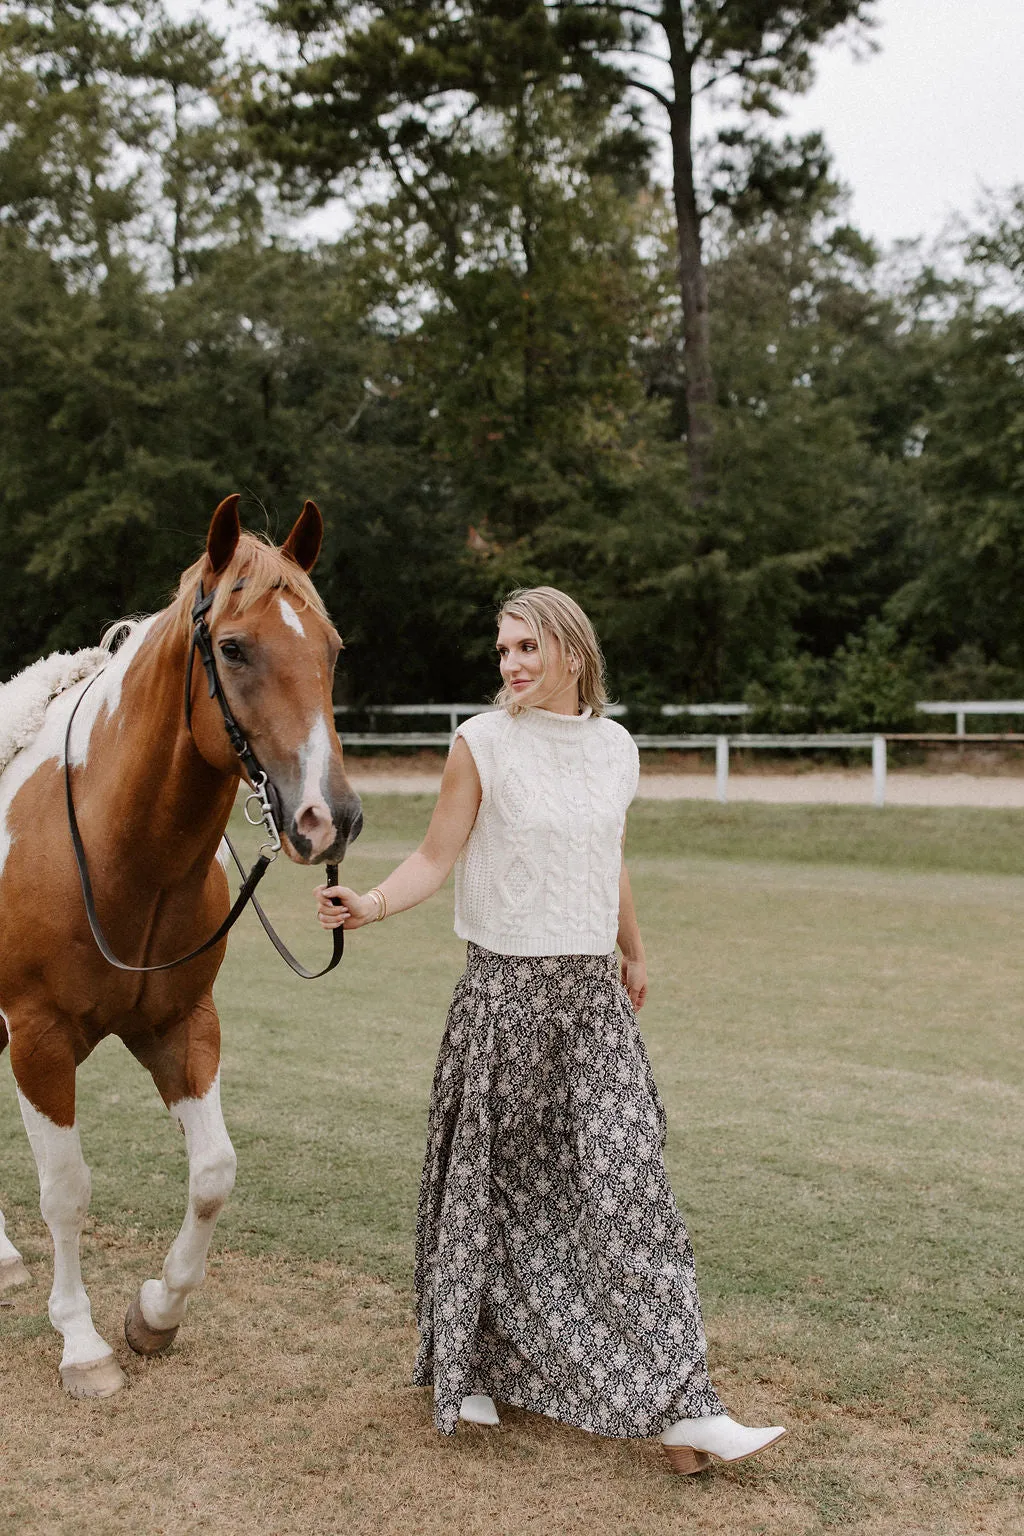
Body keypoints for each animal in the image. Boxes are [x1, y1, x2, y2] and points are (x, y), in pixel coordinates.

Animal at [0, 497, 362, 1400]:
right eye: (232, 647)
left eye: (332, 648)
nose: (329, 817)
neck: (112, 849)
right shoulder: (38, 1039)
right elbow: (66, 1191)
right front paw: (82, 1345)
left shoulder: (180, 1026)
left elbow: (213, 1175)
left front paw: (155, 1314)